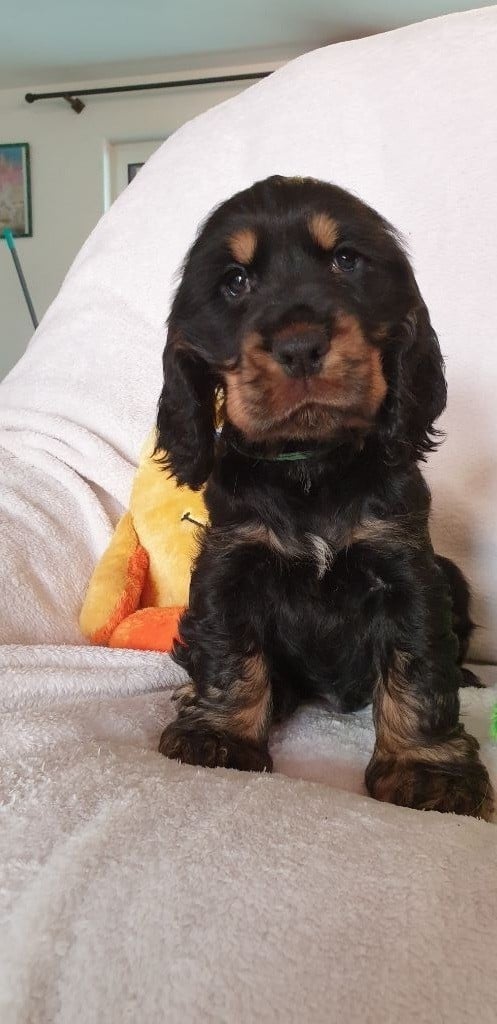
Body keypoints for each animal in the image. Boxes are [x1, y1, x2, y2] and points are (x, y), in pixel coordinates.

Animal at [156, 175, 494, 820]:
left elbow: (420, 666)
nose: (300, 345)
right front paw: (218, 734)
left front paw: (427, 769)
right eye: (235, 281)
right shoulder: (230, 562)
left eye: (346, 261)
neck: (310, 464)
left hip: (454, 577)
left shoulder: (406, 567)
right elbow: (227, 648)